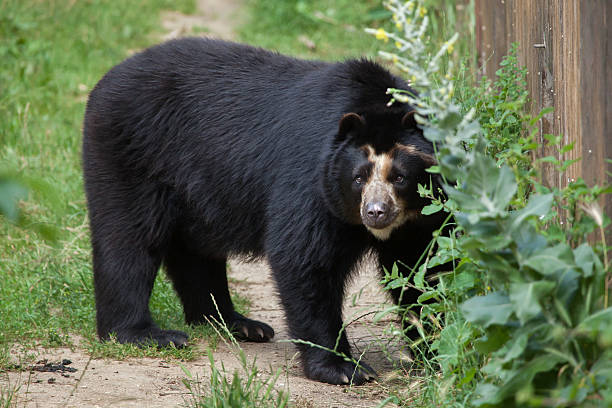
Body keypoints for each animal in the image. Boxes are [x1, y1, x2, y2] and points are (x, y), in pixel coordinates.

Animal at [81, 36, 444, 384]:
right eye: (358, 177)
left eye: (399, 177)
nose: (376, 212)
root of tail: (106, 79)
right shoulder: (309, 178)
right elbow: (304, 259)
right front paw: (343, 368)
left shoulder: (417, 223)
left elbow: (422, 270)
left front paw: (434, 350)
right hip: (130, 152)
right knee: (128, 240)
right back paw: (145, 334)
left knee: (195, 253)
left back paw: (235, 323)